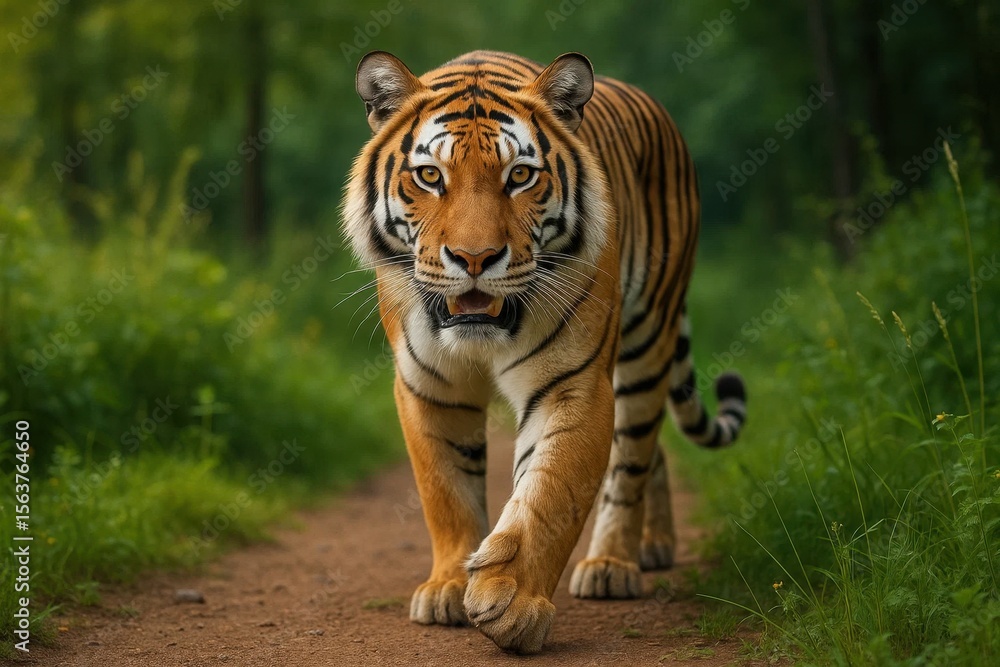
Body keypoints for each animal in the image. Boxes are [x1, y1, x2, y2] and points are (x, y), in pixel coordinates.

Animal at [342, 50, 747, 654]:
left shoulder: (572, 383)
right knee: (653, 450)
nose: (475, 257)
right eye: (430, 176)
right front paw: (446, 588)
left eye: (520, 176)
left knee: (633, 454)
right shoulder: (429, 386)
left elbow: (549, 493)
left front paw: (511, 603)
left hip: (648, 339)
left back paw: (612, 565)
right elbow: (446, 492)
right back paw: (652, 547)